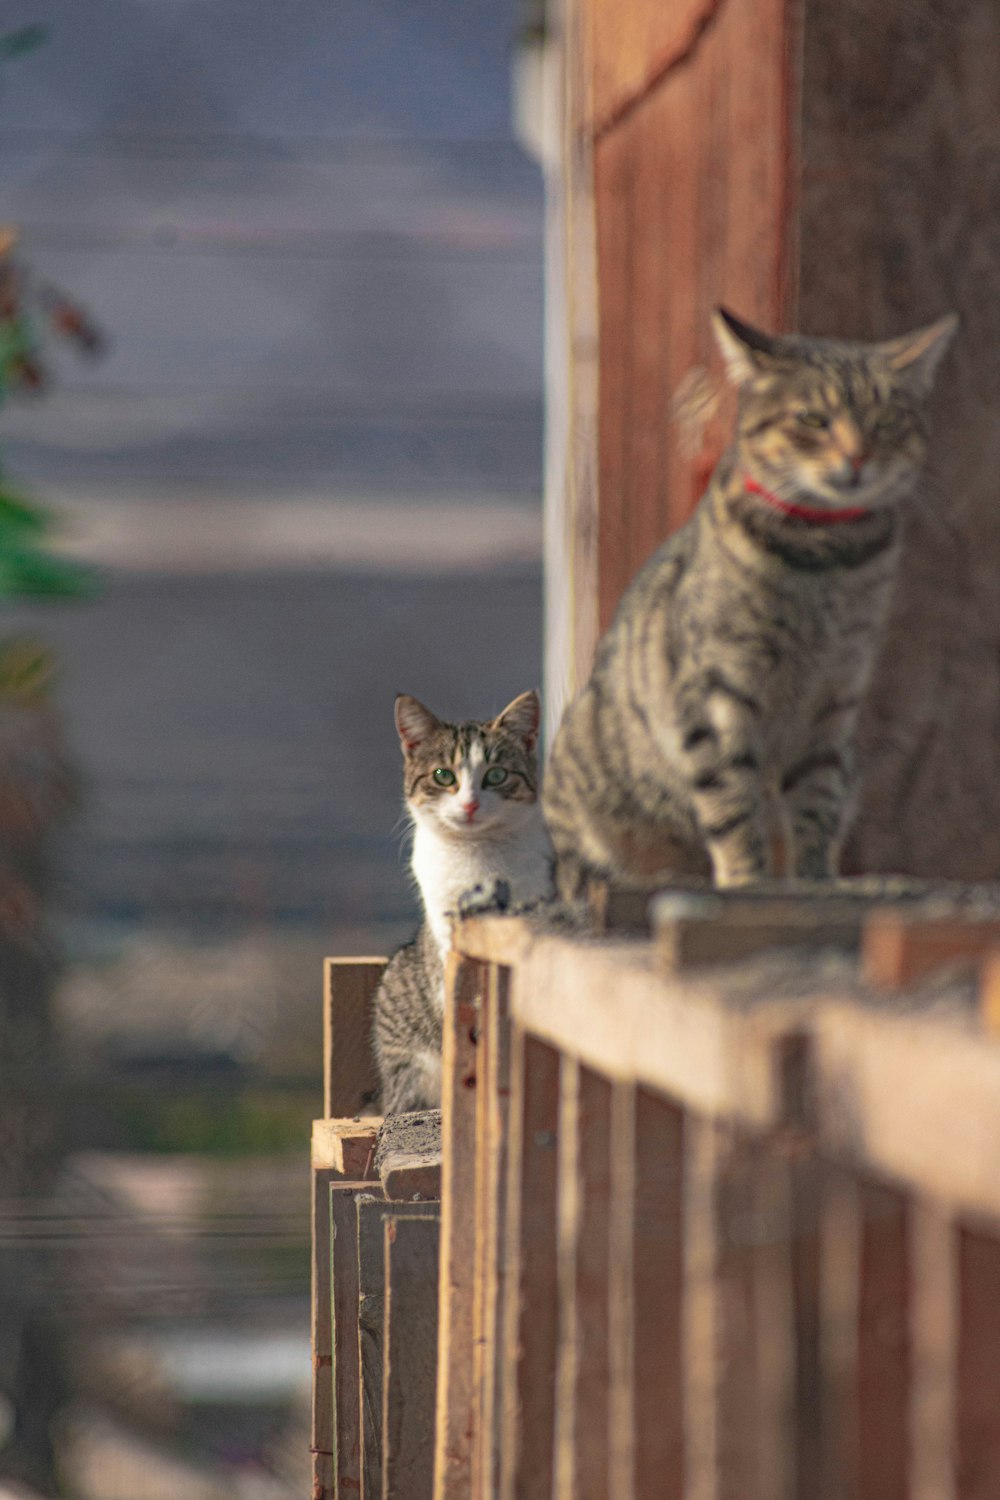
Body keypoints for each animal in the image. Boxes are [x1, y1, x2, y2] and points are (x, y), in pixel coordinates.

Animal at [542, 304, 959, 888]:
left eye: (886, 421)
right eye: (812, 419)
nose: (858, 459)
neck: (825, 556)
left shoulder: (835, 698)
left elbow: (817, 802)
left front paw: (813, 881)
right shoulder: (717, 692)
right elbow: (733, 804)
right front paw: (745, 880)